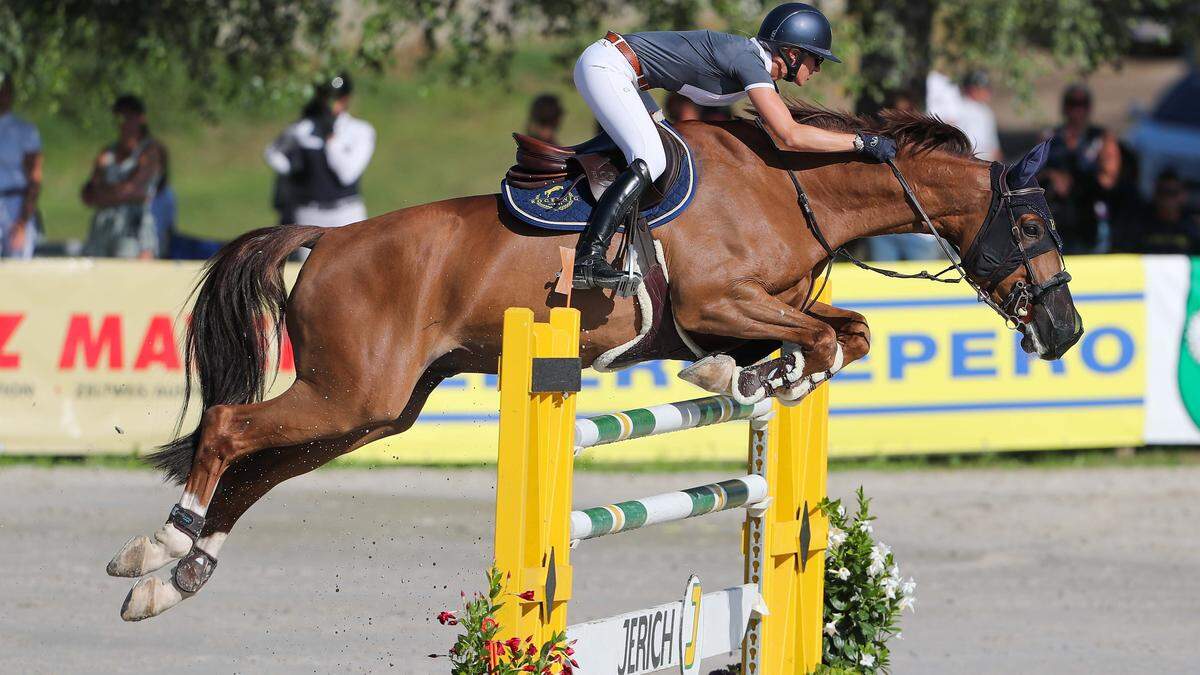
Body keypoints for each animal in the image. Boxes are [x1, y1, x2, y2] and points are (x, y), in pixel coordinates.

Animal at [108, 102, 1084, 619]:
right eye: (1034, 223)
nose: (1068, 330)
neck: (787, 184)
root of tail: (327, 236)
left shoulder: (758, 310)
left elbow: (846, 332)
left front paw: (756, 379)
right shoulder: (715, 304)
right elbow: (820, 338)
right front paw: (746, 377)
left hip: (375, 407)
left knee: (262, 465)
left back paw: (174, 577)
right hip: (350, 390)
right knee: (229, 428)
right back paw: (165, 542)